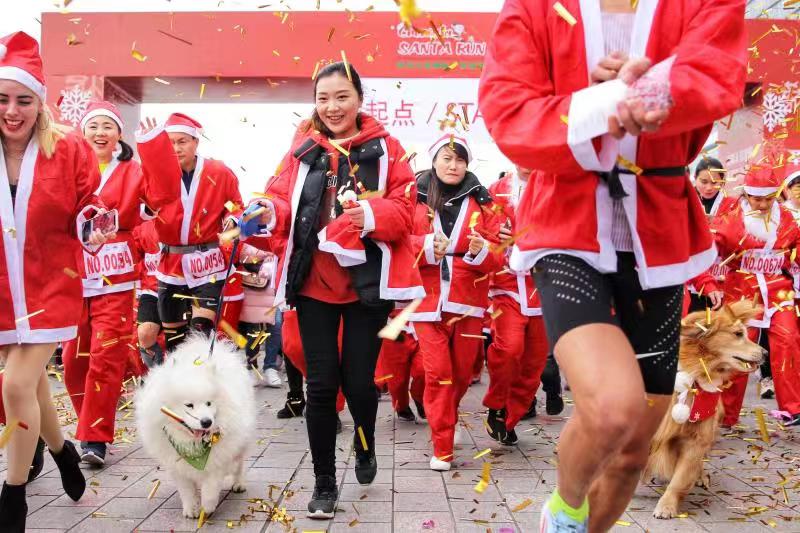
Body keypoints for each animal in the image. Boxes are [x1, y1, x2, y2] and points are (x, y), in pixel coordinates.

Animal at [135, 336, 256, 516]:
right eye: (189, 405)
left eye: (209, 403)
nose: (206, 422)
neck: (193, 446)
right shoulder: (177, 466)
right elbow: (186, 490)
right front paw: (191, 509)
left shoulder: (216, 461)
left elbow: (211, 488)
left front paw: (207, 508)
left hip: (240, 443)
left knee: (239, 463)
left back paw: (239, 484)